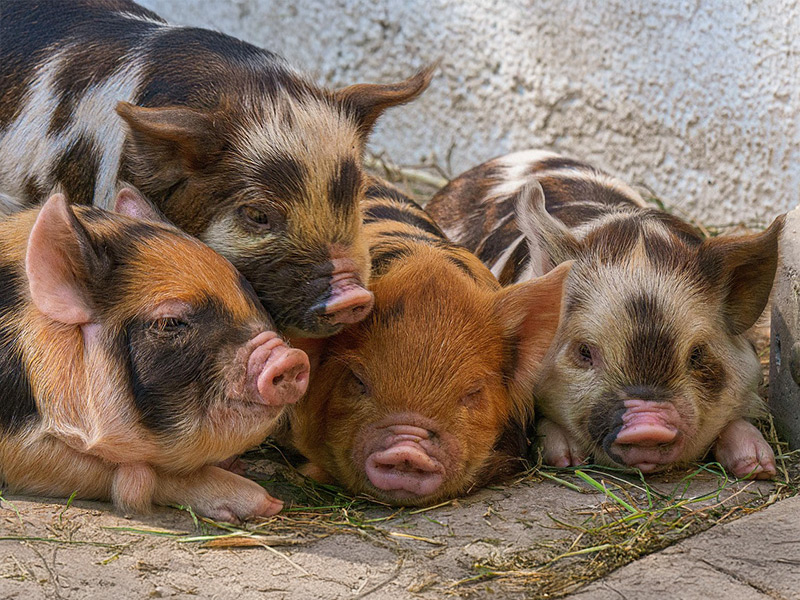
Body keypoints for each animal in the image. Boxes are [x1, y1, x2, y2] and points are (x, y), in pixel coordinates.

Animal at [0, 188, 310, 521]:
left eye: (250, 293)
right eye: (169, 322)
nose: (290, 358)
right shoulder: (18, 449)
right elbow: (135, 472)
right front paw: (267, 502)